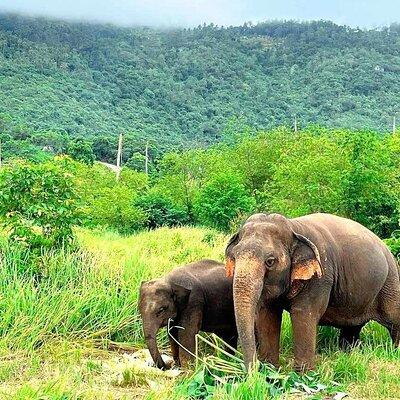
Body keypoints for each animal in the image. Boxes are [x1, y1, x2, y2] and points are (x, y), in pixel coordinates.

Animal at [225, 212, 400, 372]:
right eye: (234, 257)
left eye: (270, 261)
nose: (252, 374)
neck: (293, 227)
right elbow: (268, 314)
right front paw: (271, 371)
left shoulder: (320, 277)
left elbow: (303, 314)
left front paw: (303, 375)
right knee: (352, 327)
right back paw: (348, 353)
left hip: (390, 282)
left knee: (394, 319)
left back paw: (394, 352)